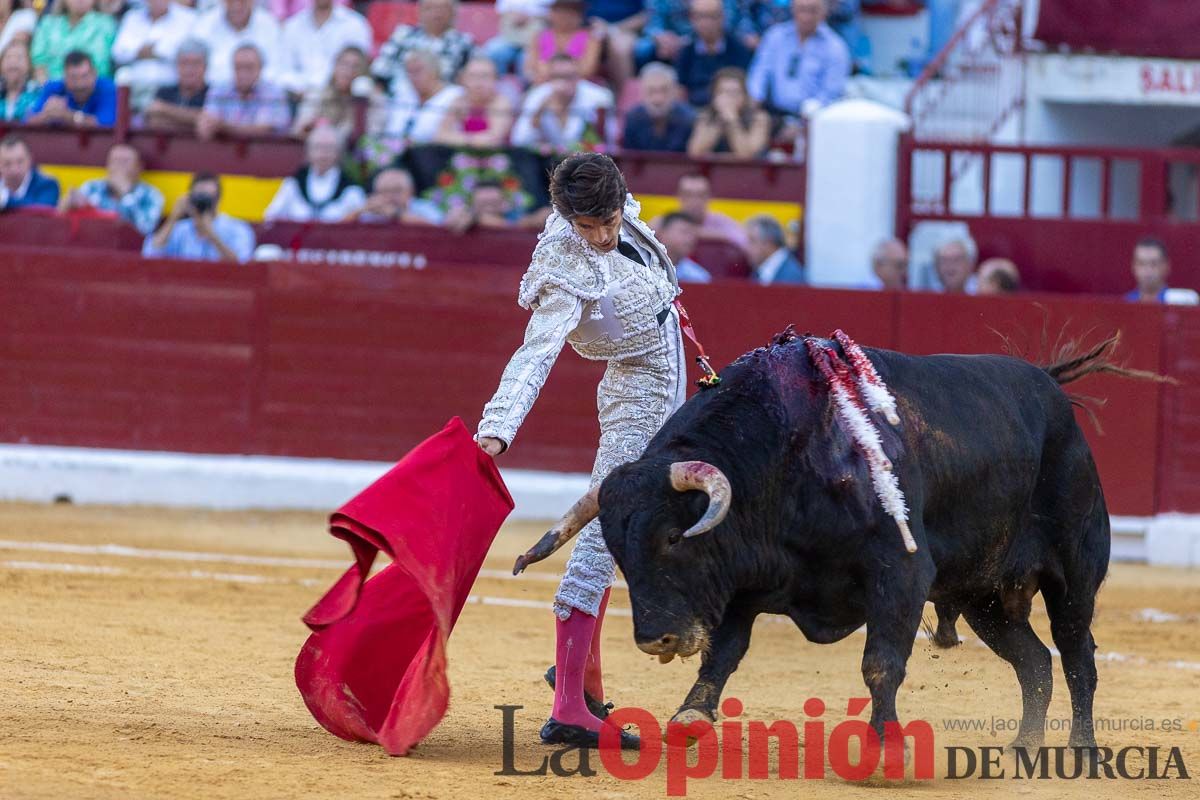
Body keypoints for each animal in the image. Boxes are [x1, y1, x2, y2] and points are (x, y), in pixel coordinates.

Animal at [513, 331, 1113, 753]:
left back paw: (1080, 750)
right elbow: (724, 651)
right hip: (982, 598)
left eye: (674, 538)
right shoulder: (744, 582)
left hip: (1075, 572)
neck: (786, 456)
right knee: (1034, 663)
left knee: (1076, 654)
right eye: (619, 553)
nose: (655, 640)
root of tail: (1050, 388)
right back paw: (1023, 747)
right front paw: (690, 715)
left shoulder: (900, 574)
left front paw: (886, 746)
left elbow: (881, 662)